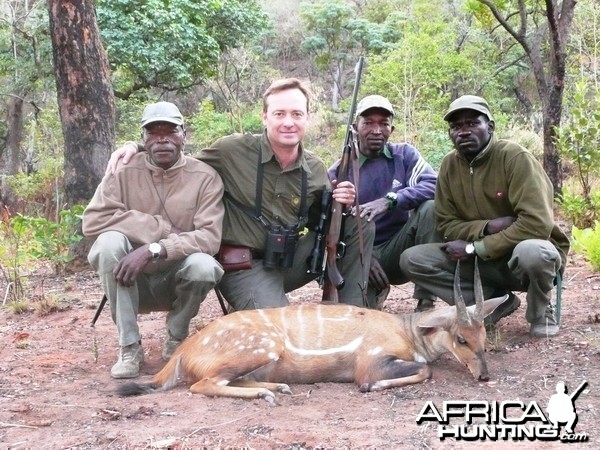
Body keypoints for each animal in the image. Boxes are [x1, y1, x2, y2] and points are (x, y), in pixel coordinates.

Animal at [117, 258, 506, 402]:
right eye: (461, 338)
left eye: (484, 335)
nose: (484, 375)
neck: (407, 331)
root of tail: (184, 351)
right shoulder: (370, 361)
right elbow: (423, 371)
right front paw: (372, 387)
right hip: (261, 347)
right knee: (201, 385)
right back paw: (267, 393)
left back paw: (278, 387)